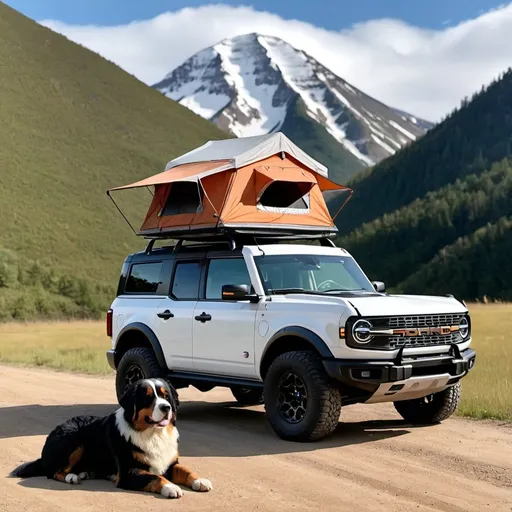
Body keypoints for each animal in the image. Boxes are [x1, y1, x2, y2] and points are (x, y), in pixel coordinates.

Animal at [9, 376, 212, 500]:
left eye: (166, 396)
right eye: (148, 398)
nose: (166, 408)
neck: (153, 434)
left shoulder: (170, 462)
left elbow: (186, 470)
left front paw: (200, 481)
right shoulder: (128, 472)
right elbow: (155, 477)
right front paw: (171, 487)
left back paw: (84, 472)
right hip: (75, 441)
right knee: (54, 472)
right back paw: (72, 477)